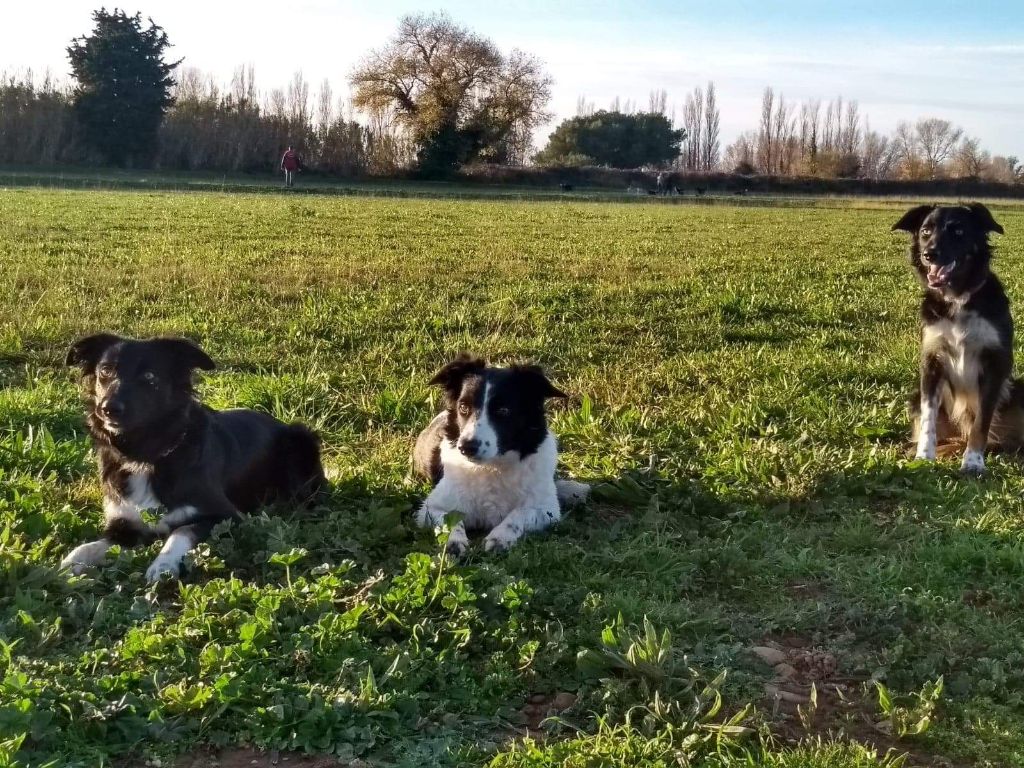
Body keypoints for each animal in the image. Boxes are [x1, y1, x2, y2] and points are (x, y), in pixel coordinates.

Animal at [59, 333, 323, 581]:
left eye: (149, 376)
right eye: (105, 371)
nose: (107, 409)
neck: (146, 456)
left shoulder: (226, 516)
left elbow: (181, 532)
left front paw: (163, 564)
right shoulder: (124, 523)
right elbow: (88, 547)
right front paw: (69, 565)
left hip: (301, 440)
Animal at [413, 358, 593, 557]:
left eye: (503, 411)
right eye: (463, 407)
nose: (466, 447)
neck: (492, 467)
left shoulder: (546, 510)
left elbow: (517, 515)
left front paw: (499, 538)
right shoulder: (431, 508)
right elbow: (451, 521)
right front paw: (454, 542)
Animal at [892, 202, 1019, 475]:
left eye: (958, 231)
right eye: (925, 231)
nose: (929, 254)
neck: (958, 299)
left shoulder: (995, 364)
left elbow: (981, 422)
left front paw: (973, 462)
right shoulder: (931, 362)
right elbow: (928, 419)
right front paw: (924, 457)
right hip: (915, 397)